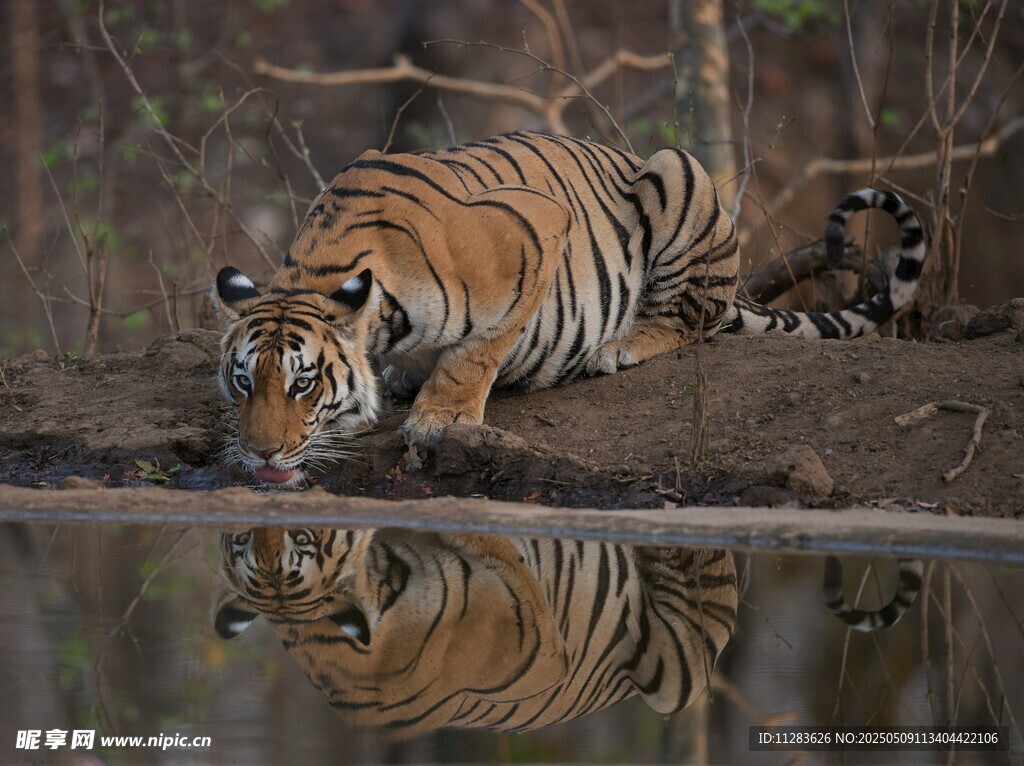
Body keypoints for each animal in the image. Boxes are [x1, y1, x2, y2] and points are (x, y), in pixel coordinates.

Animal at [212, 130, 926, 484]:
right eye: (243, 382)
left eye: (303, 383)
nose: (260, 455)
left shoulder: (534, 230)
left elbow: (478, 351)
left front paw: (440, 417)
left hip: (678, 173)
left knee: (691, 319)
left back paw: (621, 346)